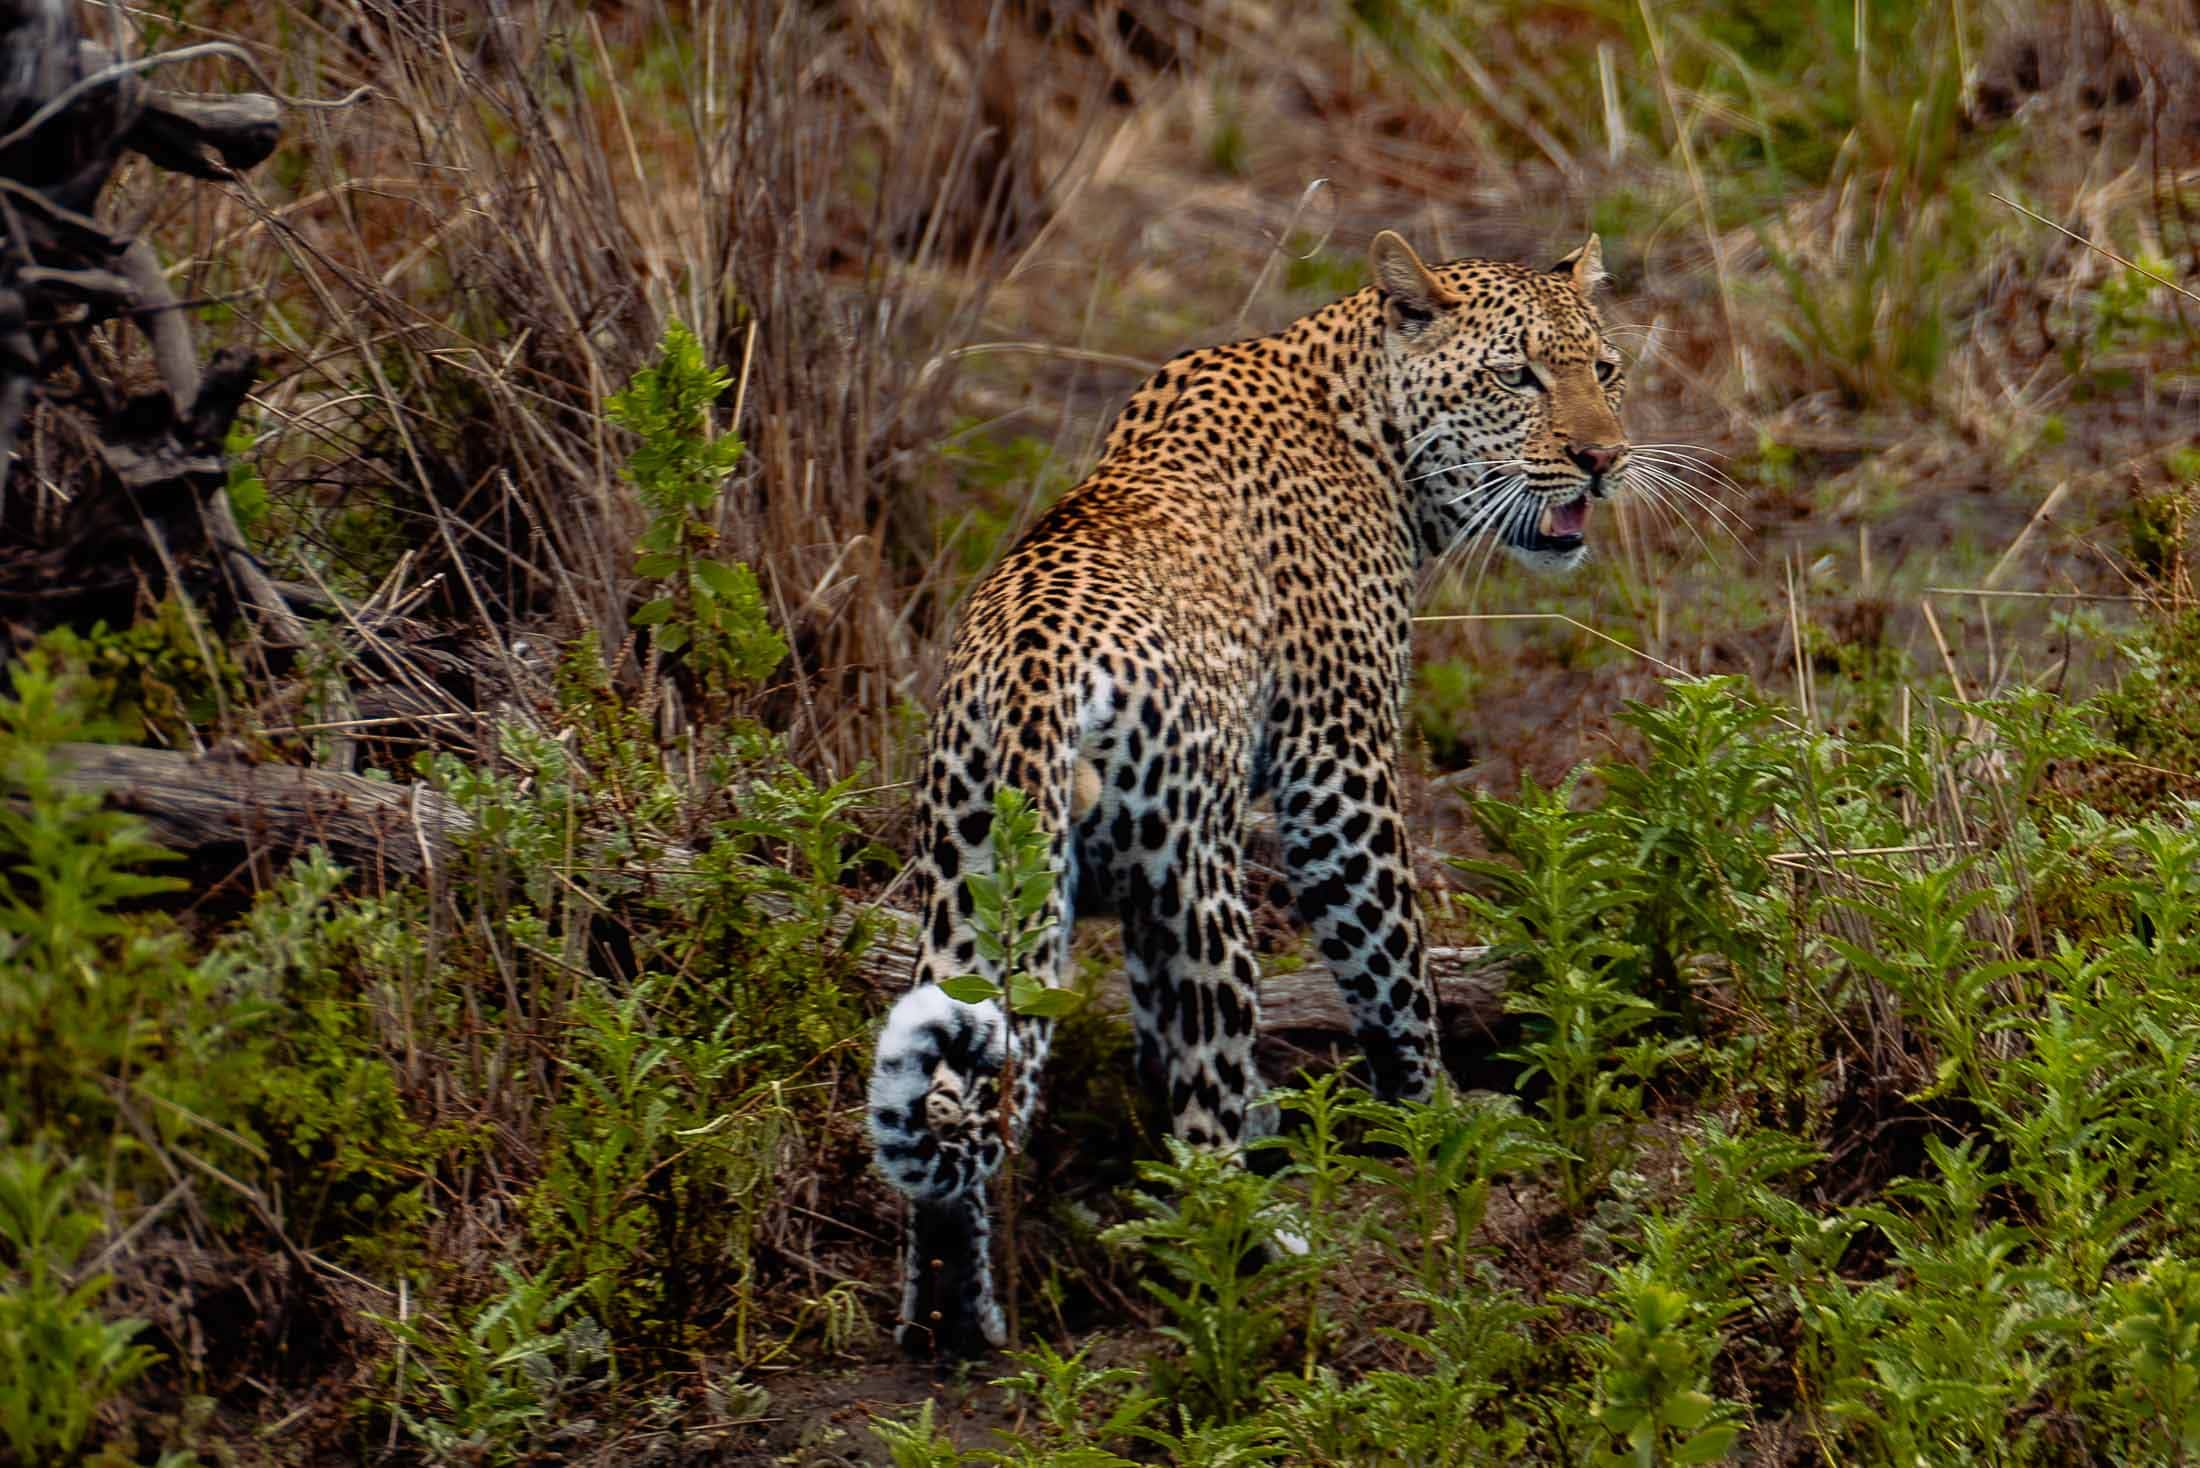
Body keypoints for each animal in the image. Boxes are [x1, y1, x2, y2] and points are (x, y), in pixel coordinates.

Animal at [866, 226, 1628, 1355]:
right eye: (1515, 377)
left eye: (1606, 371)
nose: (1603, 459)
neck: (1372, 432)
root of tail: (1038, 670)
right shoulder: (1335, 765)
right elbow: (1390, 965)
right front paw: (1437, 1114)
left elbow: (1152, 1026)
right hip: (1199, 890)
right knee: (1197, 1122)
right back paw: (1251, 1255)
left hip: (974, 890)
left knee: (958, 1104)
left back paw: (952, 1314)